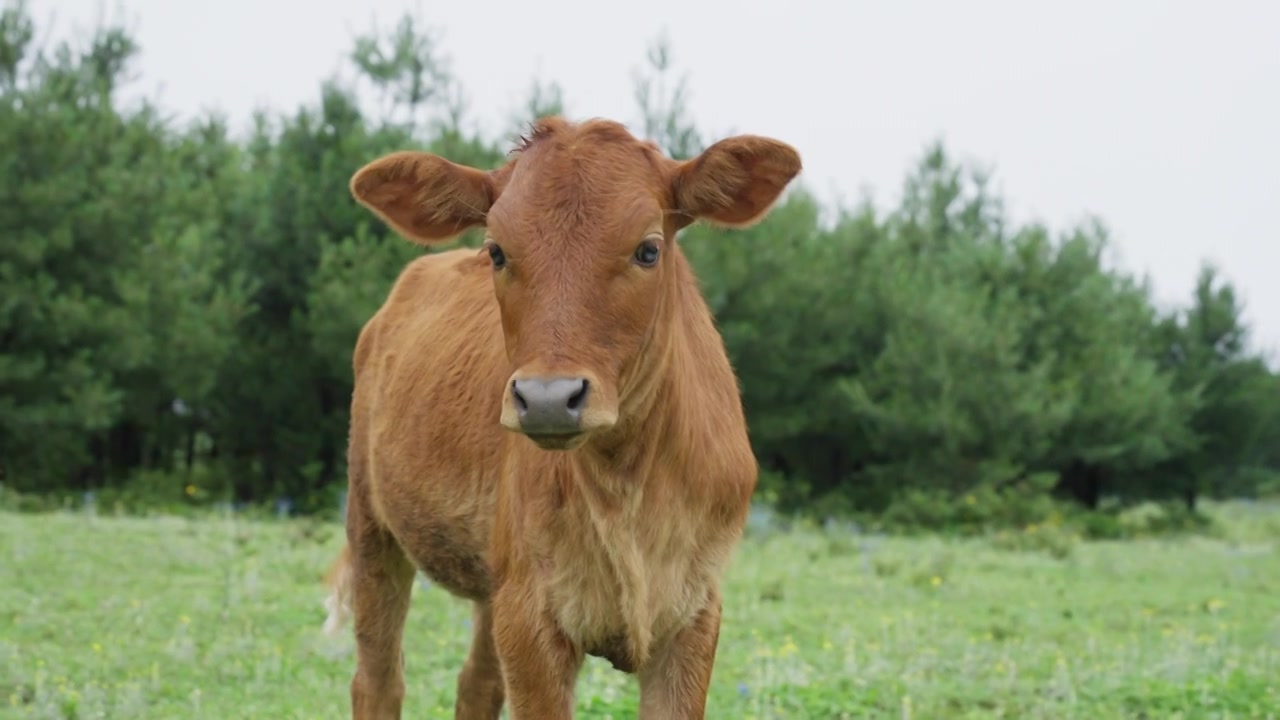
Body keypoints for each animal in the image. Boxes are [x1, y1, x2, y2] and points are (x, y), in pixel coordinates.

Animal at [322, 117, 798, 717]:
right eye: (497, 252)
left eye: (648, 250)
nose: (548, 397)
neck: (626, 485)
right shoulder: (529, 614)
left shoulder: (695, 612)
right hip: (372, 524)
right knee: (378, 678)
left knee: (476, 682)